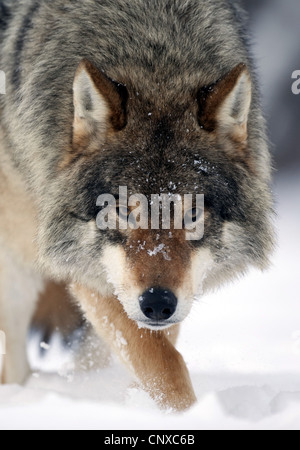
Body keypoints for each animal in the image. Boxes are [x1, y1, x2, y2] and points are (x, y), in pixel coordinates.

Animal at [0, 0, 274, 410]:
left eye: (193, 213)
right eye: (122, 210)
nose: (158, 303)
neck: (155, 52)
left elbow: (158, 352)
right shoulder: (87, 269)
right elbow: (160, 362)